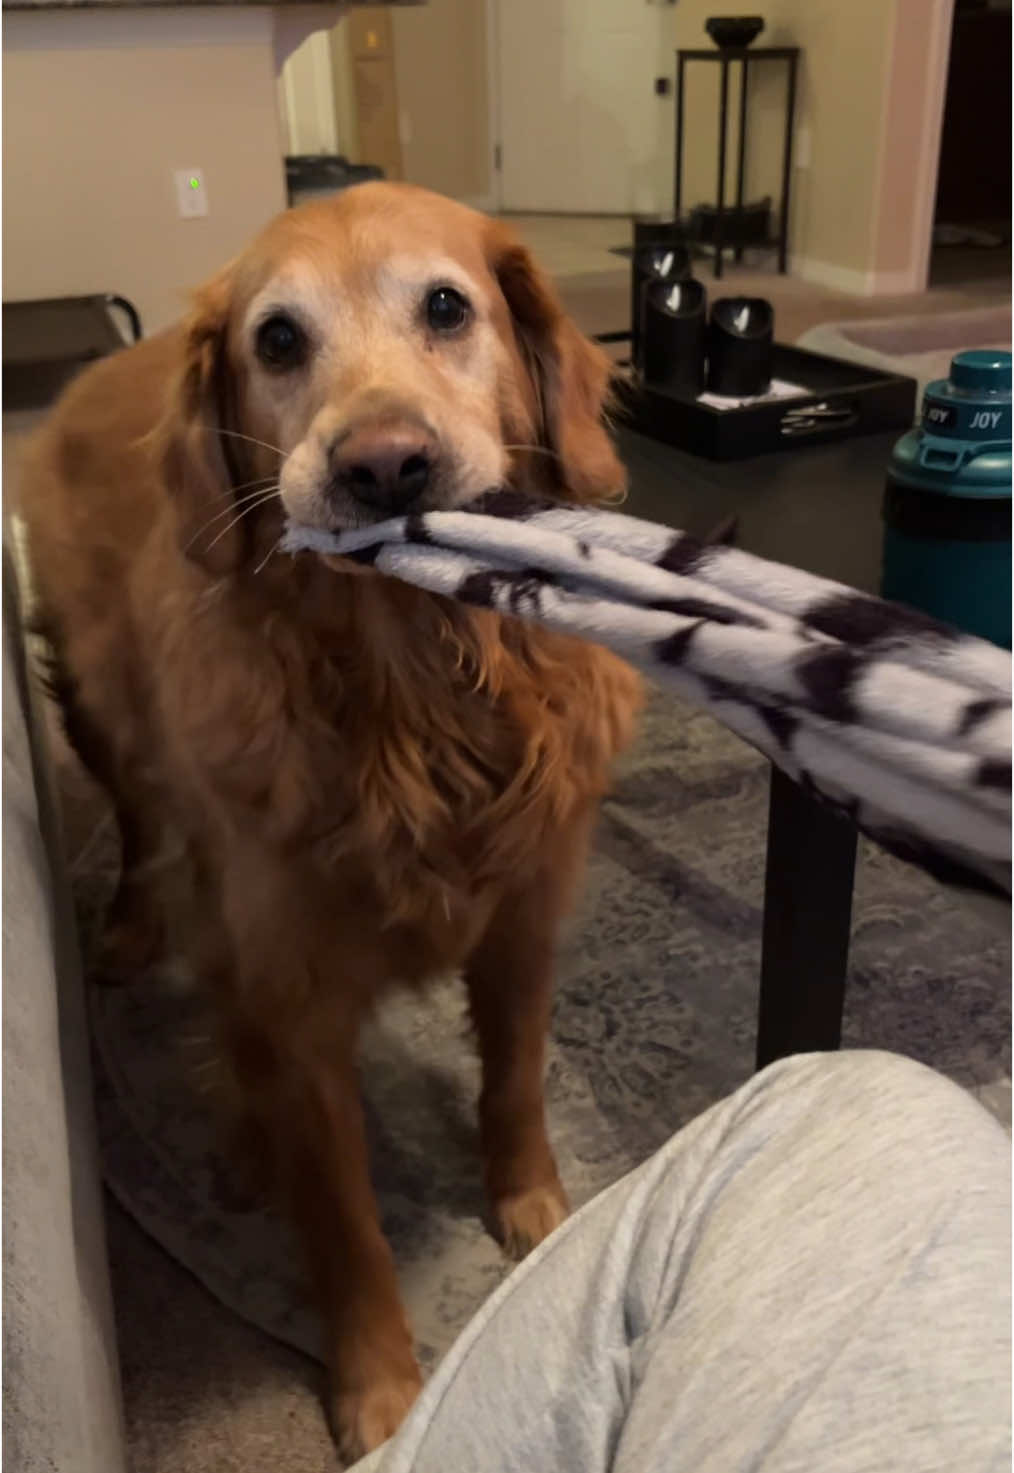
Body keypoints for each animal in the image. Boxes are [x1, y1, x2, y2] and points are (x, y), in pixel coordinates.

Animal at [17, 178, 642, 1455]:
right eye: (277, 340)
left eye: (447, 307)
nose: (386, 466)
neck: (417, 690)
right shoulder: (296, 994)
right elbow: (348, 1222)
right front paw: (380, 1387)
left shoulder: (524, 914)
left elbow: (516, 1077)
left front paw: (532, 1203)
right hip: (104, 717)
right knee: (145, 838)